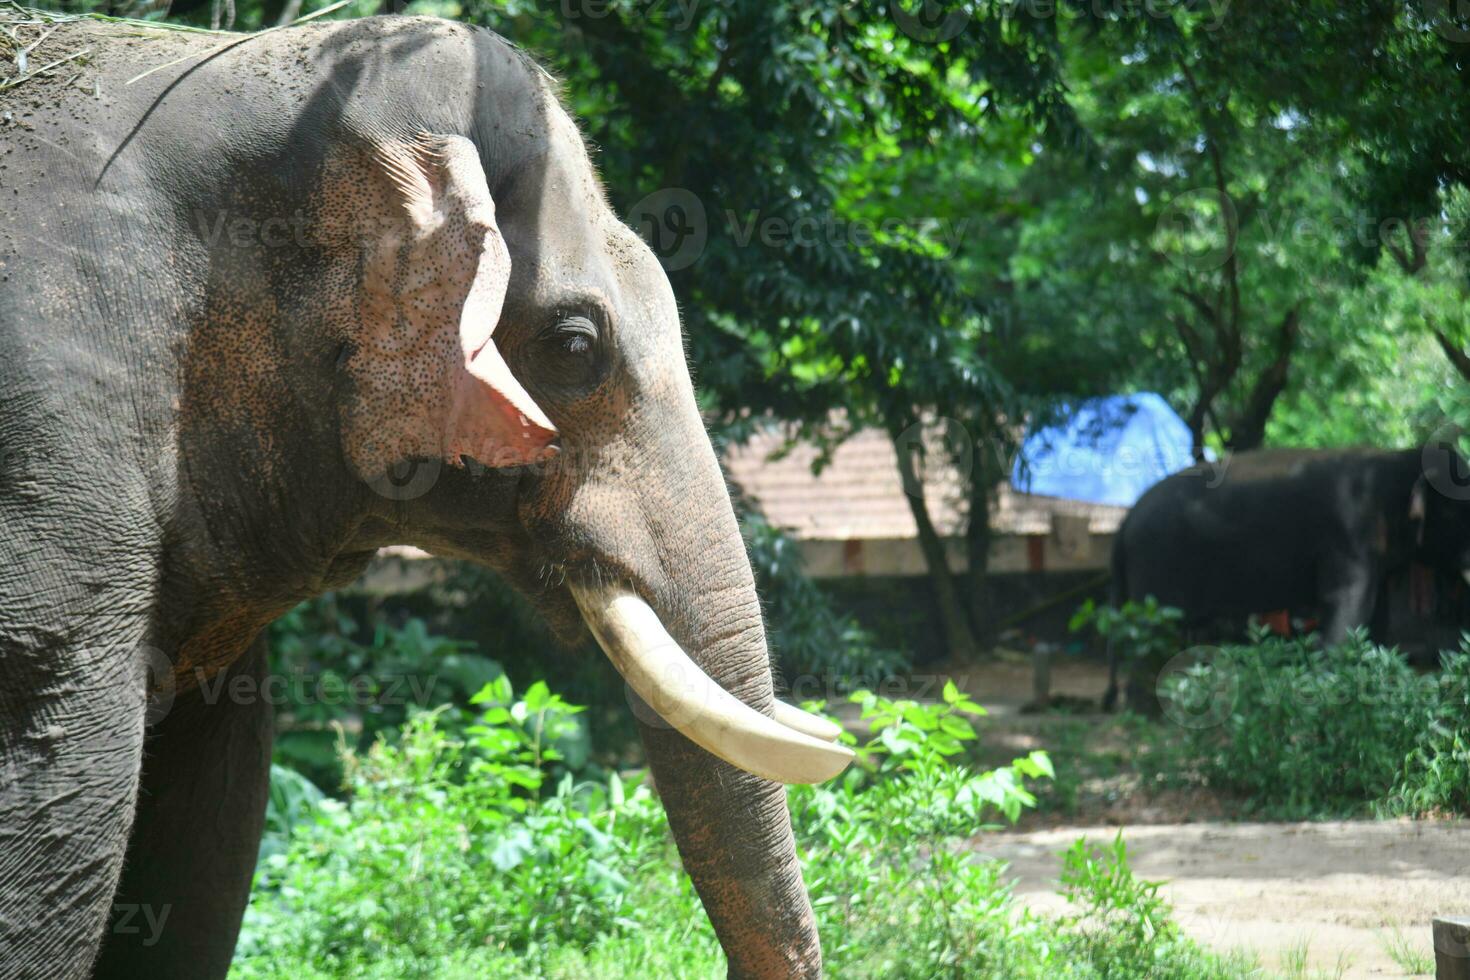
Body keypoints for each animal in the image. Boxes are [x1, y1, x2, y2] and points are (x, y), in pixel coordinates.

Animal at [1105, 446, 1470, 714]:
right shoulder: (1347, 536)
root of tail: (1124, 524)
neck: (1399, 460)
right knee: (1151, 636)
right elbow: (1346, 605)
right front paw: (1327, 694)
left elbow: (1376, 615)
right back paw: (1148, 710)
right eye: (1460, 511)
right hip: (1154, 570)